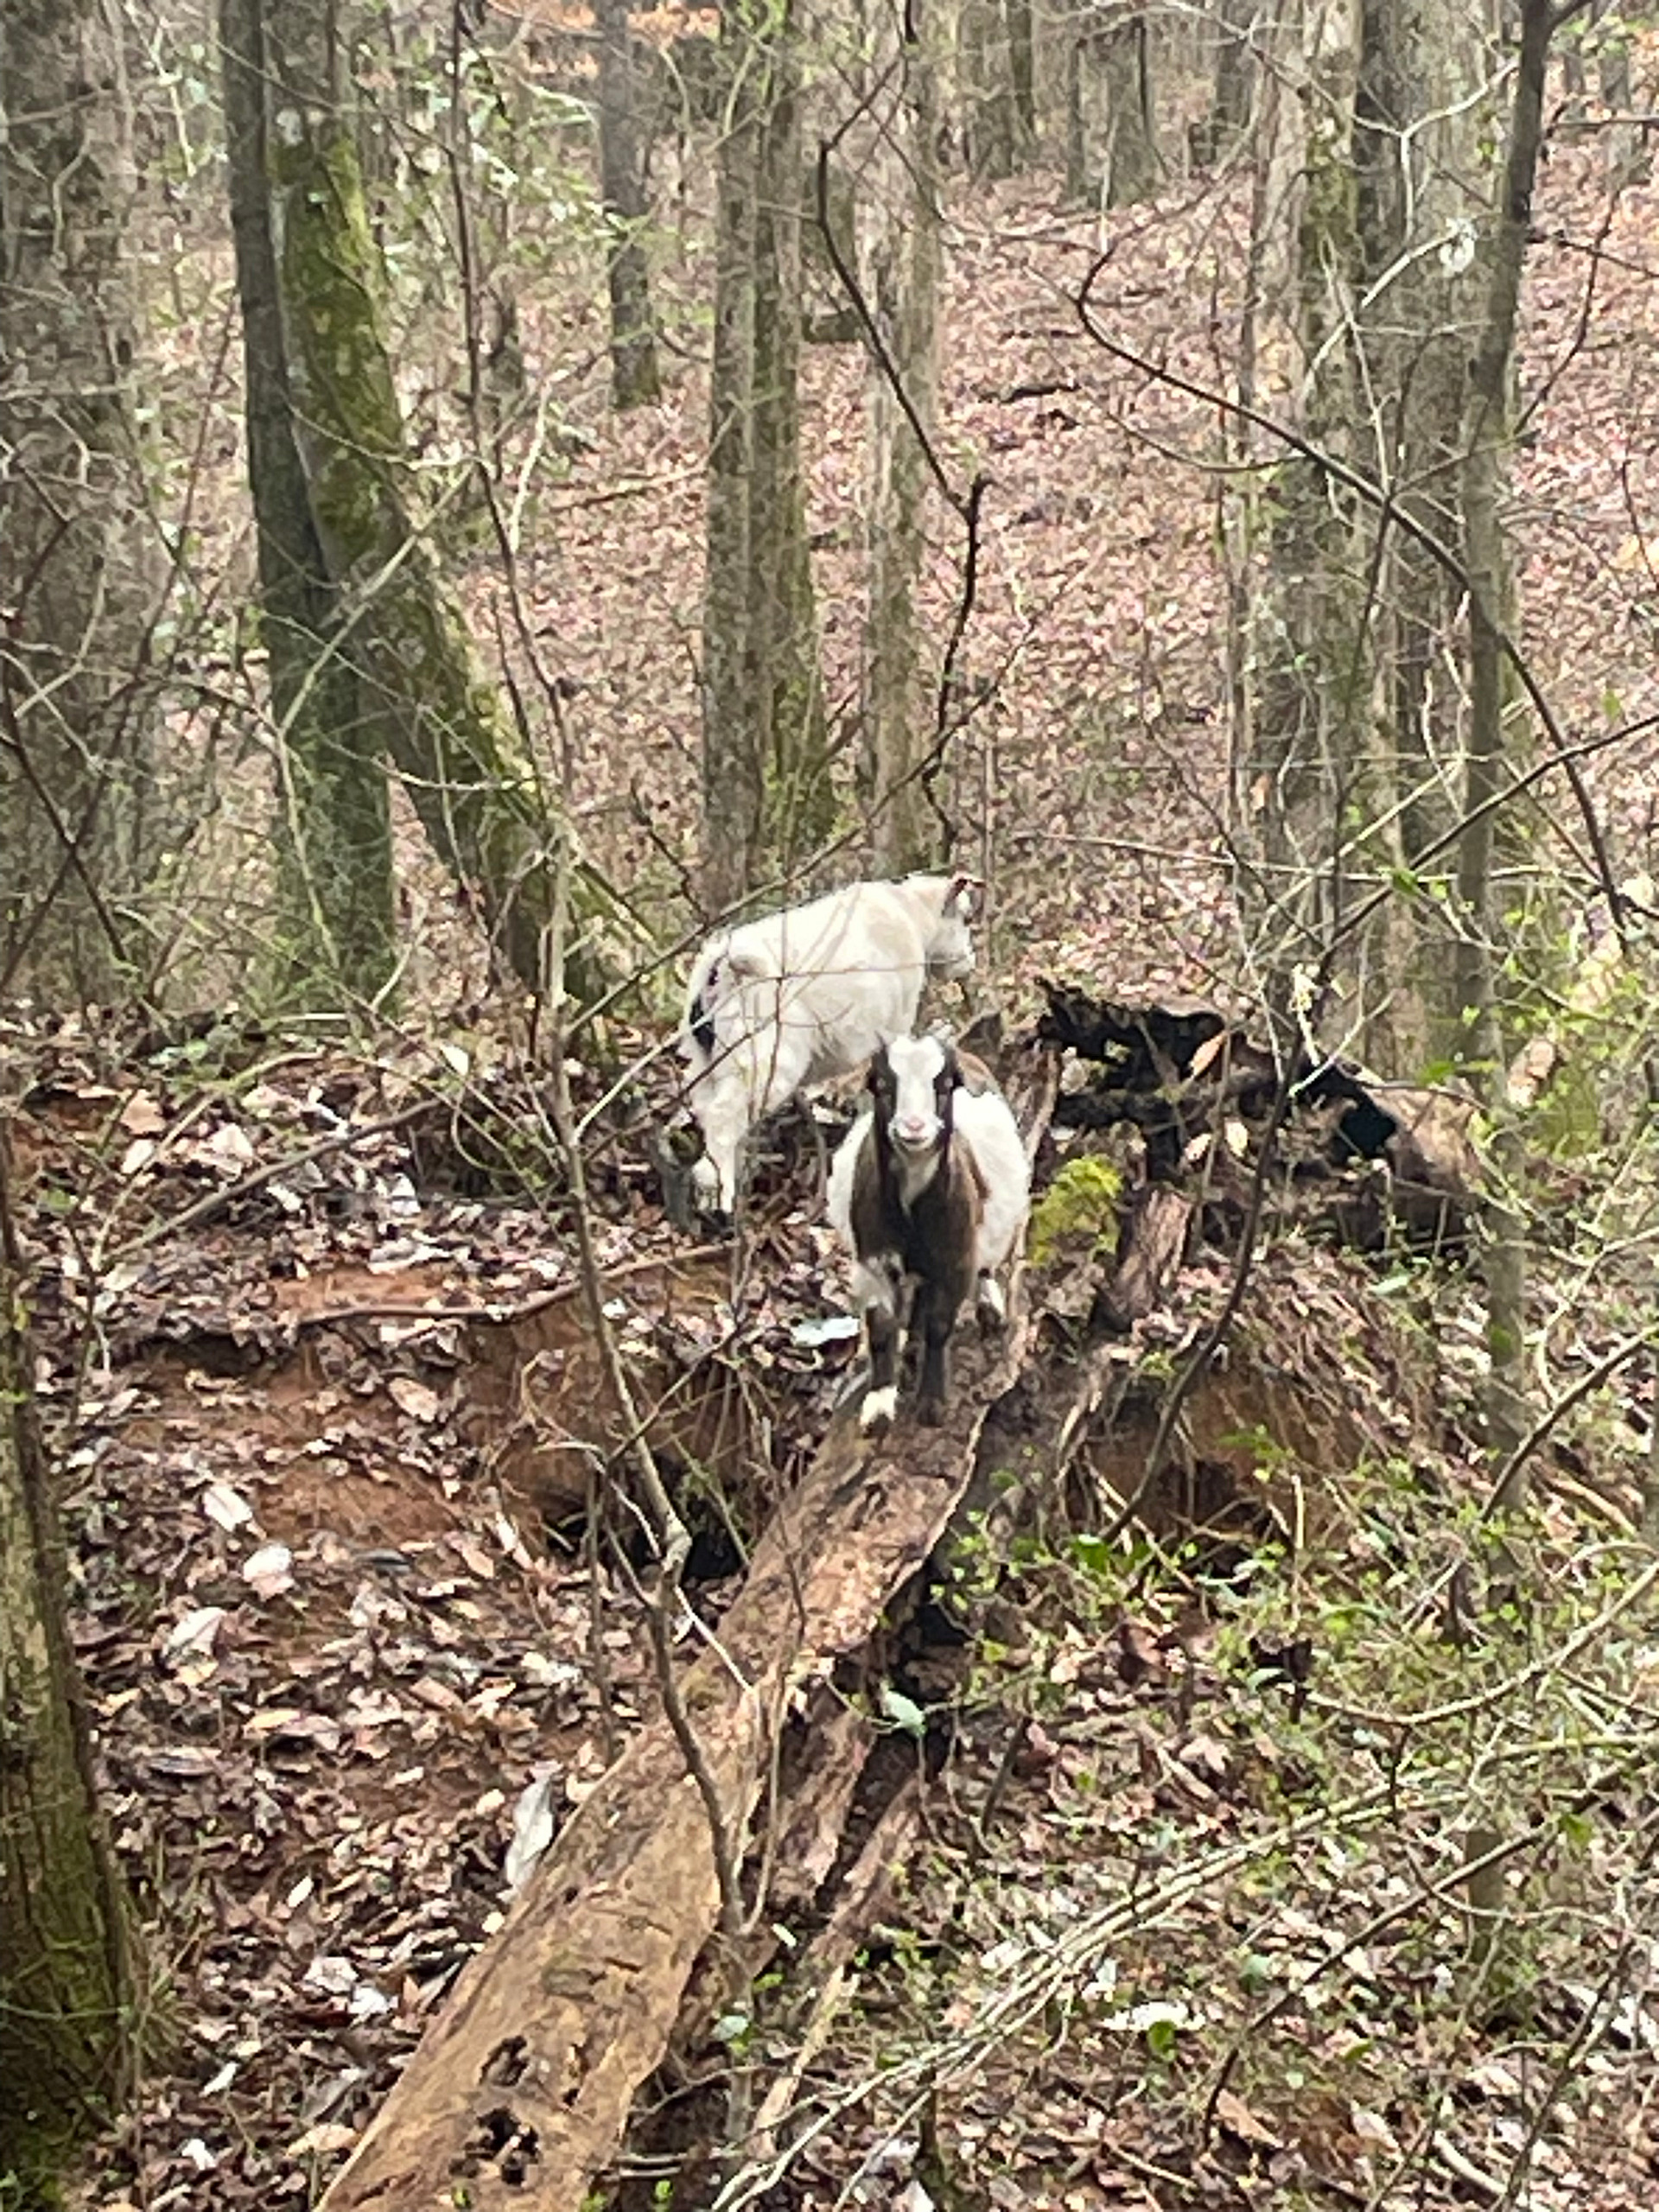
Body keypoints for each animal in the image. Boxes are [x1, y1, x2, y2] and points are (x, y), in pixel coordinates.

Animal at [679, 873, 977, 1219]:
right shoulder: (894, 1025)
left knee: (706, 1110)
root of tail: (721, 969)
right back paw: (719, 1194)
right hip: (763, 1061)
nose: (970, 963)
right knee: (723, 1116)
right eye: (965, 918)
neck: (912, 913)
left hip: (705, 1060)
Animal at [827, 1033, 1029, 1434]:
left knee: (985, 1266)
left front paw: (932, 1404)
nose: (914, 1127)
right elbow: (881, 1327)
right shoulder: (874, 1262)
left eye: (945, 1084)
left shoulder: (955, 1262)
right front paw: (880, 1403)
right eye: (882, 1085)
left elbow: (939, 1325)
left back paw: (989, 1307)